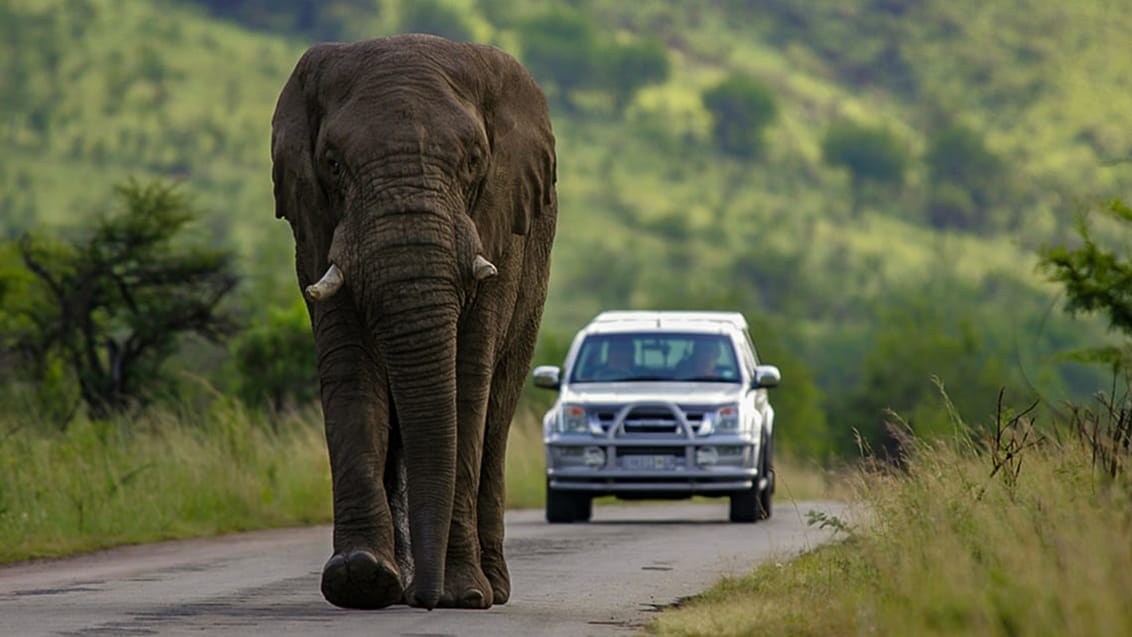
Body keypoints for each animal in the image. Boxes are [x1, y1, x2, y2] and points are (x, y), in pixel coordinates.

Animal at [273, 32, 556, 610]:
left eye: (474, 160)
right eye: (332, 162)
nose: (425, 600)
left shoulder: (498, 229)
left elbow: (467, 384)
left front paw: (463, 595)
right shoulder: (316, 229)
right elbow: (351, 374)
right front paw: (358, 578)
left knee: (495, 416)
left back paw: (489, 588)